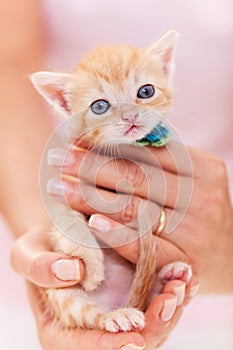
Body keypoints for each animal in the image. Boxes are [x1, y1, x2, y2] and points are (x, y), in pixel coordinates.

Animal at [30, 29, 191, 330]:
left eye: (146, 92)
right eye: (100, 106)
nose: (130, 116)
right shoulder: (60, 192)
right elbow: (70, 224)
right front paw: (93, 265)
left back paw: (170, 276)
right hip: (64, 297)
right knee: (91, 316)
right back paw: (117, 315)